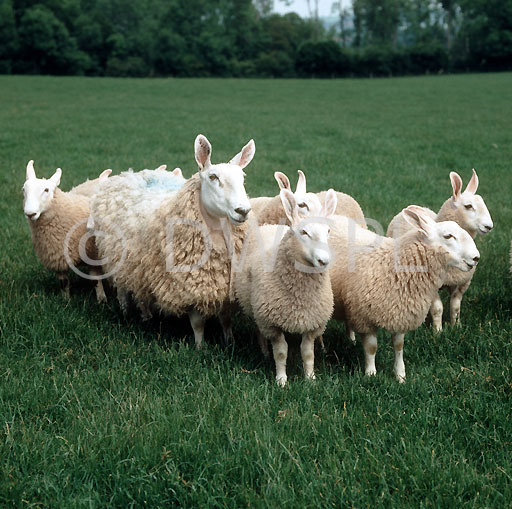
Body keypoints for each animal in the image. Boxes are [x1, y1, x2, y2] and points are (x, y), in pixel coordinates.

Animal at [23, 161, 109, 300]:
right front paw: (66, 300)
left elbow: (96, 281)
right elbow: (64, 283)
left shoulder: (93, 255)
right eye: (24, 190)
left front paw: (102, 300)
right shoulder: (58, 256)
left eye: (46, 190)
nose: (30, 213)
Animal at [90, 133, 256, 348]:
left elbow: (226, 318)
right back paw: (126, 311)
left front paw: (230, 342)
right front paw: (200, 347)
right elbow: (198, 323)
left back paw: (146, 316)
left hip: (140, 267)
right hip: (117, 258)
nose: (243, 210)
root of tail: (129, 174)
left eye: (242, 178)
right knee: (122, 288)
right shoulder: (189, 285)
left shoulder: (225, 285)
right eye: (213, 177)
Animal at [234, 189, 338, 382]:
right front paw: (281, 379)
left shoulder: (312, 323)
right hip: (257, 310)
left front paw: (310, 378)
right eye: (304, 232)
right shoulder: (272, 323)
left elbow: (307, 353)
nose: (324, 260)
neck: (300, 295)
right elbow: (281, 352)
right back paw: (264, 352)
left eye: (328, 231)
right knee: (259, 331)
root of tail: (269, 225)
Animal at [330, 204, 482, 380]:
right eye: (448, 236)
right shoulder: (364, 317)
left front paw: (400, 375)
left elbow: (398, 345)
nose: (476, 257)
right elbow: (371, 348)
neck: (392, 265)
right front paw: (371, 374)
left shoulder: (400, 312)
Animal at [388, 169, 492, 332]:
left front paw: (456, 326)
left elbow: (455, 307)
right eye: (468, 206)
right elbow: (438, 309)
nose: (489, 226)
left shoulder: (462, 284)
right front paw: (438, 331)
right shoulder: (431, 286)